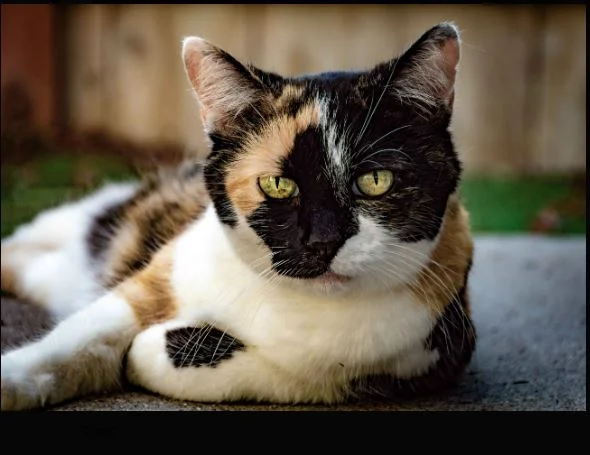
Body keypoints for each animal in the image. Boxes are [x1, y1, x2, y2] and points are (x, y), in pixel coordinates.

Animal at [1, 21, 476, 412]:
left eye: (375, 181)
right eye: (278, 185)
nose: (322, 241)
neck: (300, 307)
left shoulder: (437, 352)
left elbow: (278, 374)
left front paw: (154, 350)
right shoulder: (156, 279)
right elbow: (79, 338)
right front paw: (14, 379)